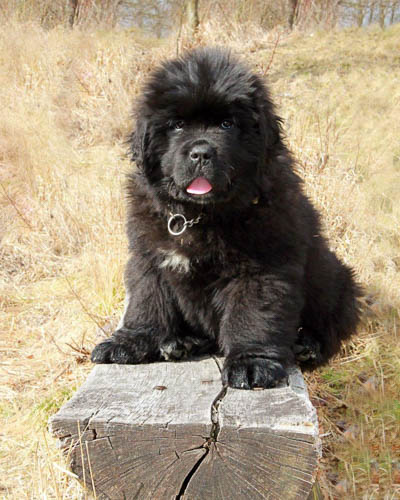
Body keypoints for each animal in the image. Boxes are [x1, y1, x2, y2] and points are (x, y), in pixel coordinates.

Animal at [92, 47, 360, 390]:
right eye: (177, 125)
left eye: (227, 124)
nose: (201, 153)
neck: (198, 215)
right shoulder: (149, 257)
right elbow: (146, 302)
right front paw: (128, 342)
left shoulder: (261, 268)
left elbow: (252, 315)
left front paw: (251, 363)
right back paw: (182, 342)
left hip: (336, 277)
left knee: (331, 324)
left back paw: (307, 345)